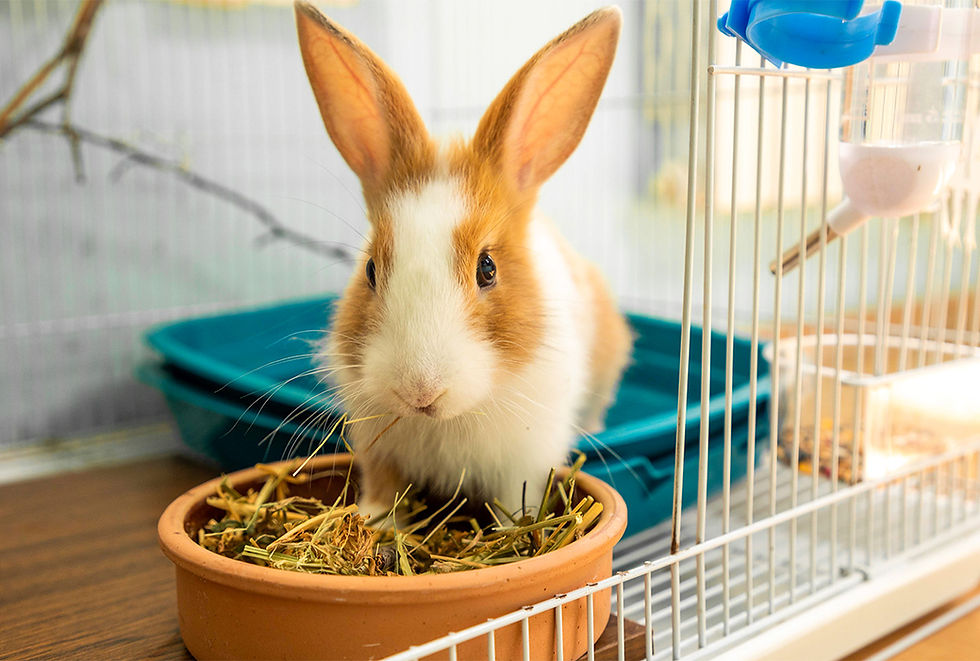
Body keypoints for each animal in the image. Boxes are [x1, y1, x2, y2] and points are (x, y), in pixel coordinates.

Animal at [294, 1, 633, 522]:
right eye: (370, 270)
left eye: (487, 268)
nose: (420, 392)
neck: (446, 418)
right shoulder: (378, 448)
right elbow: (383, 490)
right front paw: (373, 521)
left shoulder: (524, 462)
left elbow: (514, 505)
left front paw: (516, 529)